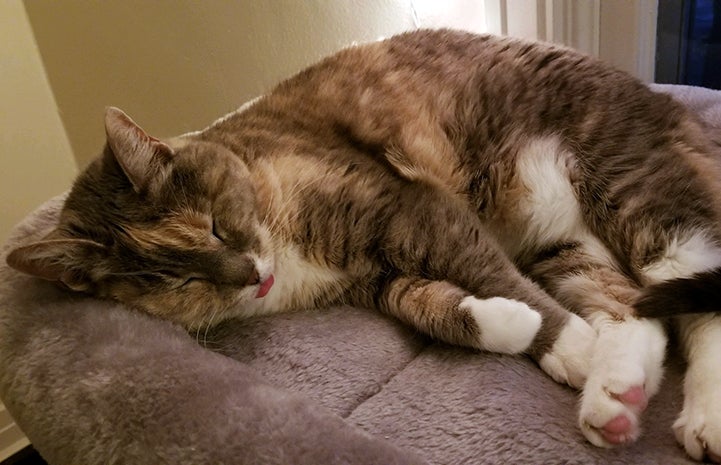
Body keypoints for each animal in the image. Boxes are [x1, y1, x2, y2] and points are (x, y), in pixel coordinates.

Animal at [5, 29, 720, 460]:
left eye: (211, 224)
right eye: (174, 281)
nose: (247, 275)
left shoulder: (409, 206)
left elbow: (490, 272)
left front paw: (566, 343)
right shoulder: (375, 278)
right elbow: (427, 305)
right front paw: (520, 332)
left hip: (637, 192)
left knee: (694, 296)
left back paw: (700, 418)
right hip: (565, 244)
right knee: (635, 311)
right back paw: (615, 394)